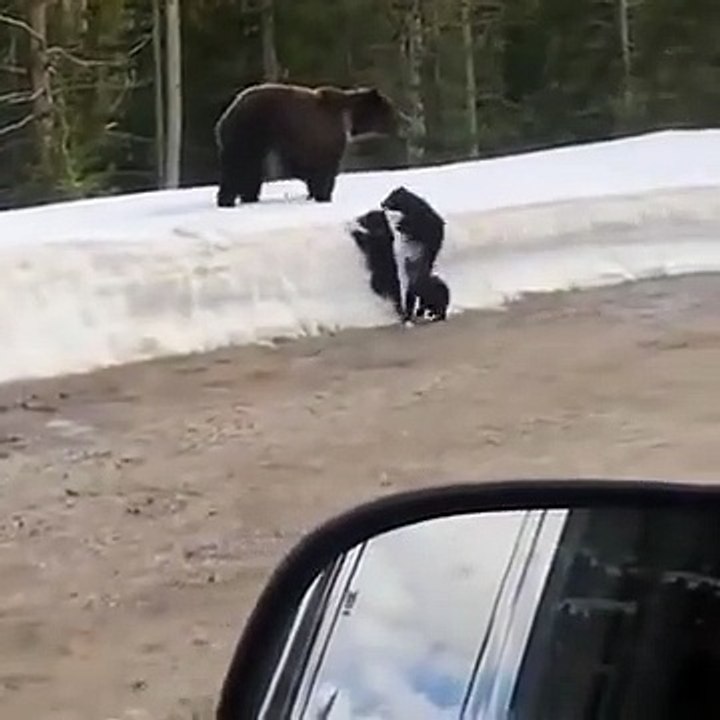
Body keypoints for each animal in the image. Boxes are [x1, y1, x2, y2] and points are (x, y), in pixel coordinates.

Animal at [214, 83, 398, 208]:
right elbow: (324, 168)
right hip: (251, 130)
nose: (400, 122)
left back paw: (248, 196)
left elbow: (304, 166)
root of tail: (226, 115)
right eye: (390, 110)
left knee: (249, 169)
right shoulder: (324, 134)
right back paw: (228, 199)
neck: (348, 118)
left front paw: (313, 191)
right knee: (240, 165)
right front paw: (324, 195)